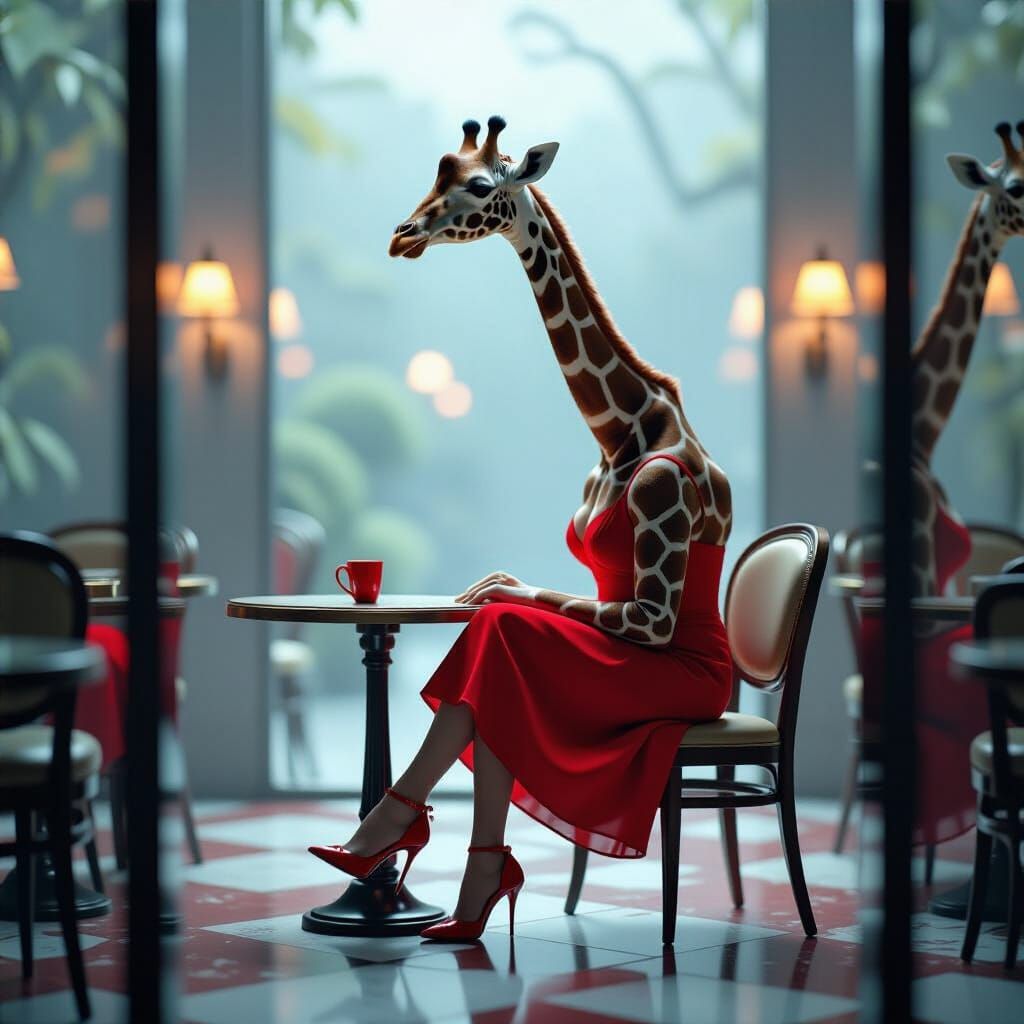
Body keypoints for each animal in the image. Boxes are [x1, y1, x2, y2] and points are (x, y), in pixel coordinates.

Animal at [389, 115, 732, 646]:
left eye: (480, 185)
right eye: (437, 176)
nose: (401, 237)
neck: (623, 428)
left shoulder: (660, 489)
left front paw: (500, 589)